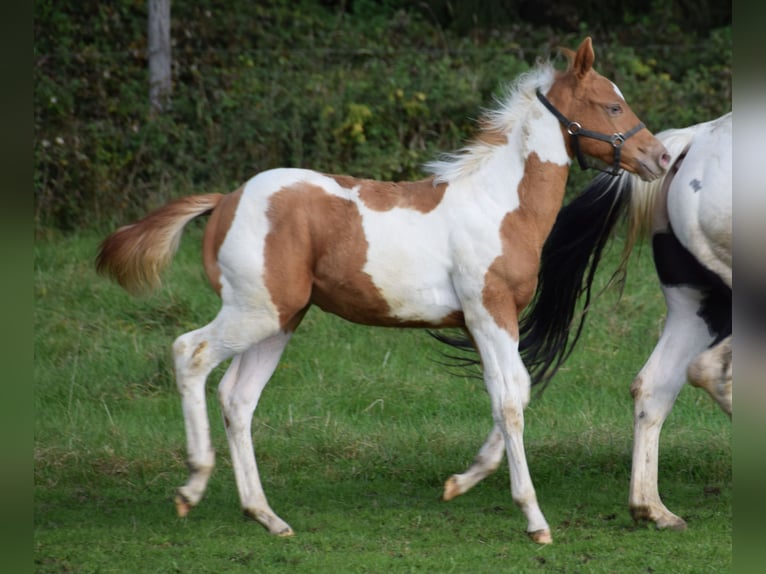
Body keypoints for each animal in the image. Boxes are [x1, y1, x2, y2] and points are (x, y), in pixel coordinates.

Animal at [97, 38, 672, 548]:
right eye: (612, 104)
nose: (660, 157)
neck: (499, 205)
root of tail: (226, 201)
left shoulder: (484, 321)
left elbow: (512, 393)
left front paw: (460, 482)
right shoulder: (489, 313)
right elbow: (511, 401)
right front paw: (533, 518)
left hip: (281, 321)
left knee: (238, 398)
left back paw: (267, 517)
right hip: (254, 312)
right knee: (189, 353)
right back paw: (192, 486)